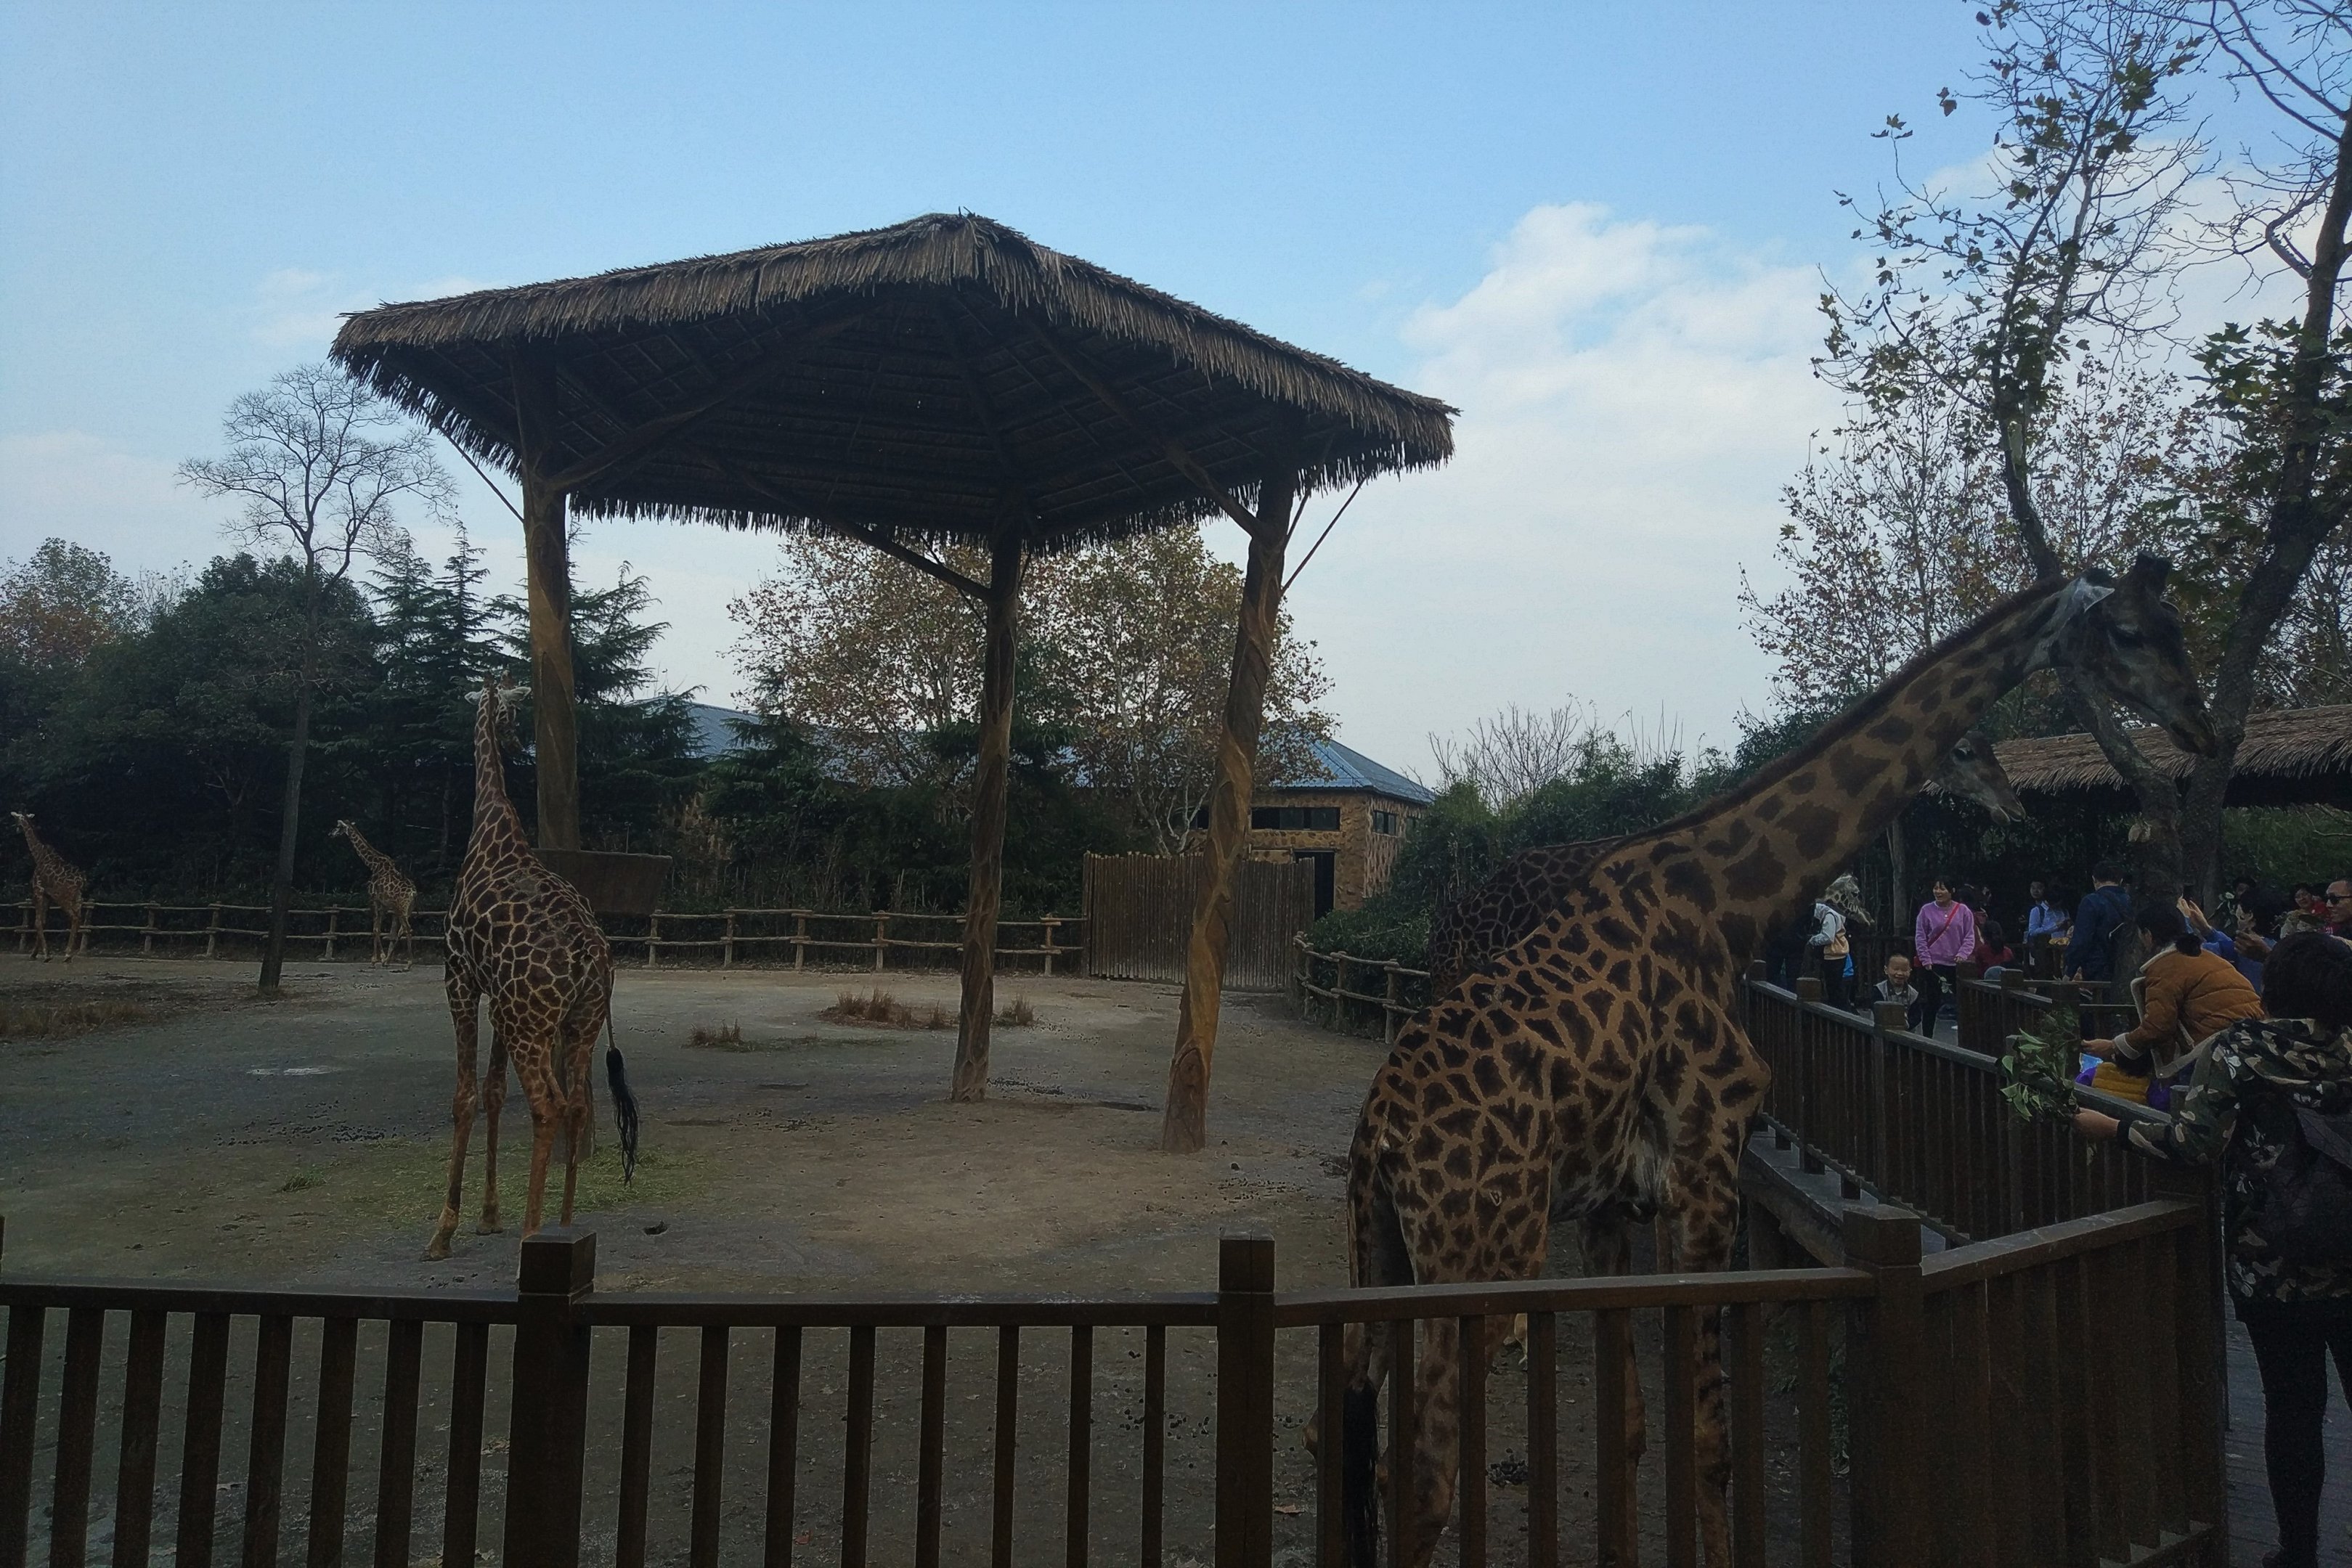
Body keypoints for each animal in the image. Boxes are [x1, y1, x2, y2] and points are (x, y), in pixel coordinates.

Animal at [11, 813, 88, 962]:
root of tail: (80, 882)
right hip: (78, 900)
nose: (16, 830)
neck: (39, 855)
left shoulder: (38, 891)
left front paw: (46, 955)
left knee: (74, 918)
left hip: (63, 899)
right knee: (78, 918)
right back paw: (69, 954)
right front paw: (36, 953)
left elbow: (37, 922)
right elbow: (44, 922)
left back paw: (67, 954)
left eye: (17, 819)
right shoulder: (48, 896)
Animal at [330, 820, 417, 968]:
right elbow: (379, 929)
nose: (331, 834)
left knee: (408, 929)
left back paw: (409, 963)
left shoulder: (373, 900)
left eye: (339, 827)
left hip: (401, 908)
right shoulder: (383, 905)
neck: (373, 865)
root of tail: (413, 893)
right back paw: (389, 961)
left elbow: (375, 930)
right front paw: (382, 959)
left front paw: (374, 960)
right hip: (407, 910)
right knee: (402, 930)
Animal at [426, 673, 638, 1261]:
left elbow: (465, 1096)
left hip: (530, 1022)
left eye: (512, 712)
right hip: (578, 1020)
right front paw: (488, 1215)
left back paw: (531, 1234)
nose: (516, 740)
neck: (491, 827)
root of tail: (590, 955)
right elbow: (494, 1092)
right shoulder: (495, 999)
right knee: (579, 1105)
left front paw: (445, 1230)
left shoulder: (459, 977)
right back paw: (562, 1226)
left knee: (548, 1105)